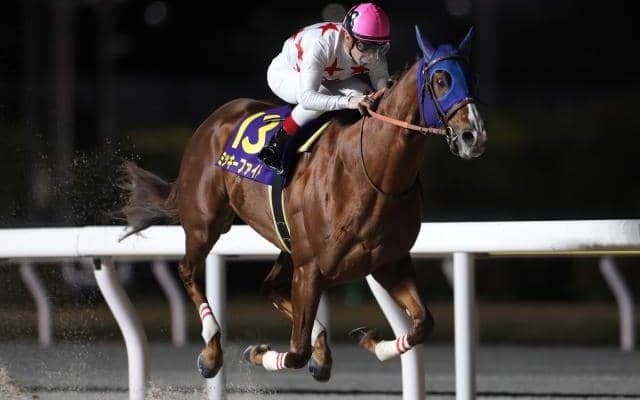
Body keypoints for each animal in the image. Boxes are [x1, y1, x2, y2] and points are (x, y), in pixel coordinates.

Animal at [116, 25, 486, 382]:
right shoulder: (311, 267)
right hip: (205, 222)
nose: (474, 136)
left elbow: (423, 324)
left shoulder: (389, 263)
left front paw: (371, 342)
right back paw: (211, 350)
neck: (371, 173)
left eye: (471, 76)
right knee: (189, 271)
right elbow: (295, 353)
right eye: (441, 80)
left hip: (287, 243)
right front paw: (259, 353)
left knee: (269, 287)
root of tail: (212, 121)